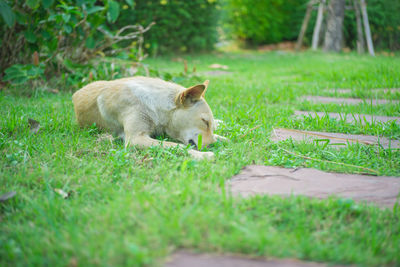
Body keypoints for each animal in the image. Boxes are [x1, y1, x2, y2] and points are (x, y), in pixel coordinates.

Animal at [71, 76, 225, 160]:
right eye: (204, 122)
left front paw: (221, 137)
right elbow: (177, 146)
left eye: (208, 124)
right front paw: (203, 155)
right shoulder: (135, 139)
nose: (213, 145)